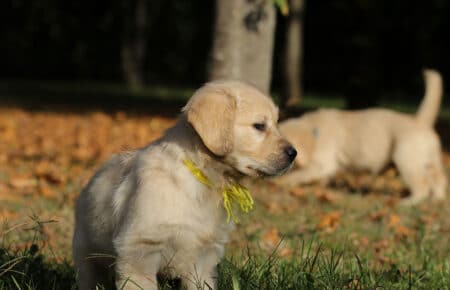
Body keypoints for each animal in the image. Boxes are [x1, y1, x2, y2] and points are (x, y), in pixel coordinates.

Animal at [72, 81, 298, 290]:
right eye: (259, 126)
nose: (293, 153)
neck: (200, 176)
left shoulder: (204, 257)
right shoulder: (139, 249)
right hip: (87, 253)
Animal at [278, 69, 446, 205]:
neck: (314, 130)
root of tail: (420, 121)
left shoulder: (322, 164)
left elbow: (298, 175)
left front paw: (282, 182)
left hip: (407, 160)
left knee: (422, 186)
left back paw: (408, 202)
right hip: (431, 160)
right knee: (439, 180)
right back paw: (437, 199)